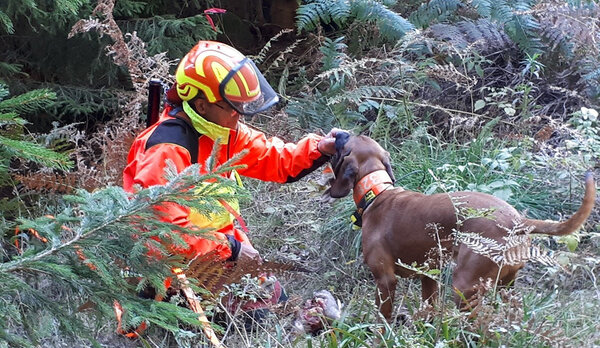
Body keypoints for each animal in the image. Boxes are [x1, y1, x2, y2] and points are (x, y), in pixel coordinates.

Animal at [326, 133, 596, 320]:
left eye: (346, 141)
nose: (338, 134)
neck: (377, 191)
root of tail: (518, 221)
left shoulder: (385, 280)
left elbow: (383, 319)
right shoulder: (429, 276)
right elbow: (429, 310)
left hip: (464, 287)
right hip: (507, 287)